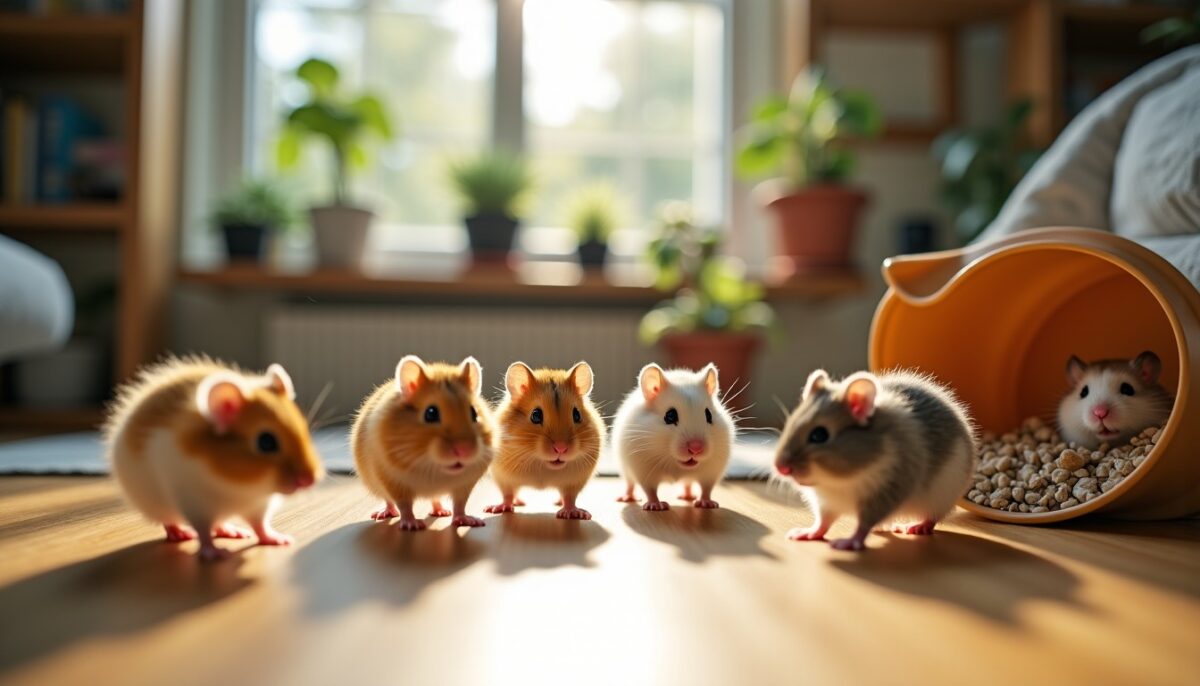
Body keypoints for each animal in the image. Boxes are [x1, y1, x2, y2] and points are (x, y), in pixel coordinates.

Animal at [104, 357, 324, 561]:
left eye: (303, 429)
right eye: (266, 442)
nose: (310, 480)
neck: (240, 486)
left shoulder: (260, 505)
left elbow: (260, 525)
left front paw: (281, 540)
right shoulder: (195, 503)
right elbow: (203, 532)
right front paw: (216, 554)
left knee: (220, 523)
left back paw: (234, 532)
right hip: (156, 504)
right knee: (171, 522)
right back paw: (182, 534)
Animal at [351, 355, 495, 531]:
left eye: (474, 413)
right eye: (430, 413)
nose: (464, 450)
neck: (432, 467)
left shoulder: (464, 484)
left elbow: (460, 505)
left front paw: (471, 521)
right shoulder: (393, 481)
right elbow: (404, 505)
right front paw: (412, 525)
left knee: (435, 500)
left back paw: (441, 512)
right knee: (389, 501)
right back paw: (383, 514)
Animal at [486, 361, 603, 520]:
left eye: (577, 415)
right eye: (535, 415)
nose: (561, 448)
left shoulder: (574, 482)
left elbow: (570, 497)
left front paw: (574, 514)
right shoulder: (503, 477)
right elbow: (507, 494)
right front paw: (498, 509)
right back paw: (517, 503)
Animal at [612, 363, 734, 511]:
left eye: (709, 415)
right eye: (670, 416)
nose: (696, 449)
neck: (674, 462)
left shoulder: (711, 472)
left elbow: (706, 488)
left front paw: (707, 504)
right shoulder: (643, 471)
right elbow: (650, 490)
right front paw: (656, 506)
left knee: (688, 483)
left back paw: (687, 497)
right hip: (626, 470)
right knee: (630, 485)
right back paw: (626, 498)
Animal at [774, 369, 975, 551]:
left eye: (819, 435)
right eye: (789, 424)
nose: (779, 468)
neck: (840, 480)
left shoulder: (884, 494)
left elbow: (863, 525)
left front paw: (845, 543)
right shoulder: (825, 503)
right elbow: (822, 522)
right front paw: (800, 534)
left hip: (941, 497)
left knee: (931, 518)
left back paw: (913, 527)